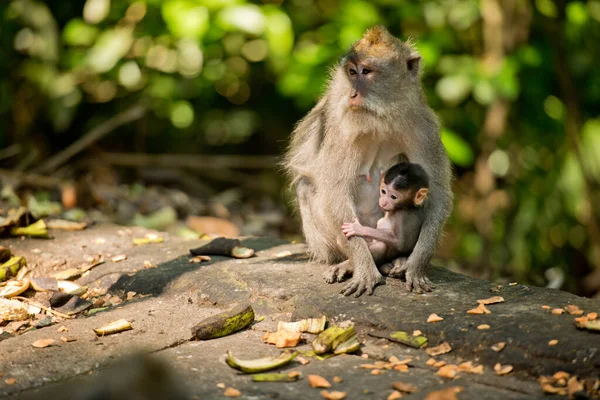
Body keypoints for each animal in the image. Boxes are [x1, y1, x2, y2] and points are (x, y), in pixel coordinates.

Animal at [284, 24, 452, 294]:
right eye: (352, 72)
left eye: (367, 72)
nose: (353, 93)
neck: (381, 117)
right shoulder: (340, 130)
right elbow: (335, 192)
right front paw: (363, 268)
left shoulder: (423, 125)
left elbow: (437, 192)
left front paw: (416, 266)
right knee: (306, 186)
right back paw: (350, 262)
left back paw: (398, 259)